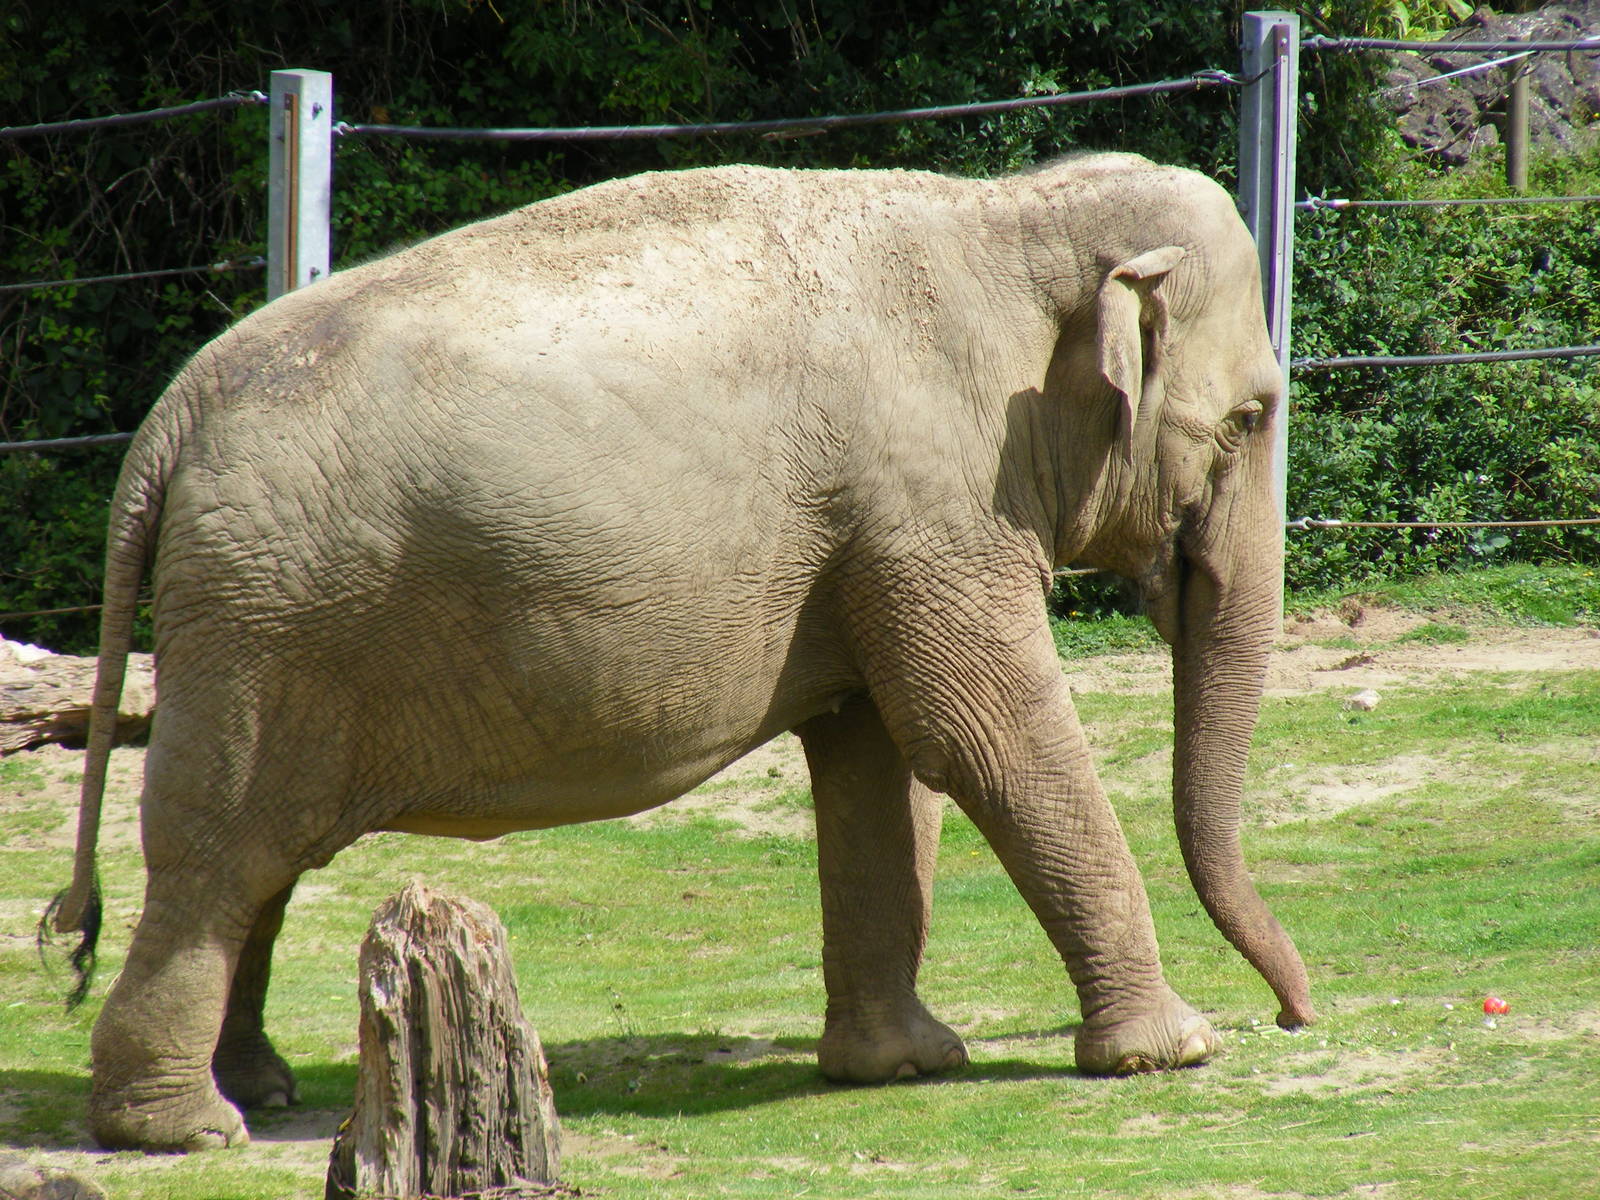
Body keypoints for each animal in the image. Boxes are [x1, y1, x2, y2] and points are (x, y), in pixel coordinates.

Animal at [49, 152, 1315, 1153]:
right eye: (1250, 418)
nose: (1292, 1013)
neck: (1008, 216)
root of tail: (169, 421)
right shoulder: (934, 499)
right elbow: (981, 736)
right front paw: (1174, 1050)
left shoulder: (877, 532)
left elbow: (873, 760)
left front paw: (902, 1064)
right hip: (262, 627)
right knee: (215, 856)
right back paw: (184, 1129)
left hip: (271, 621)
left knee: (264, 862)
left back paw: (257, 1091)